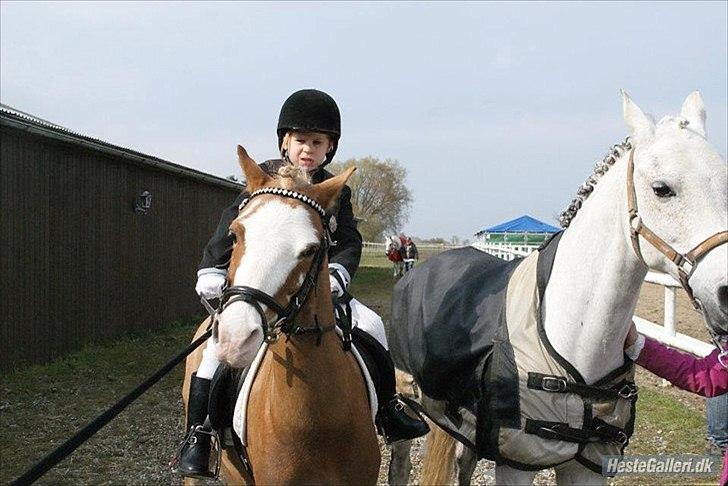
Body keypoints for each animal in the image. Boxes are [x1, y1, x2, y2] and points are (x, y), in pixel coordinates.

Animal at [390, 92, 724, 486]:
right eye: (662, 189)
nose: (725, 291)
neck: (574, 335)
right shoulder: (515, 463)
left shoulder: (586, 465)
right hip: (409, 405)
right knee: (401, 464)